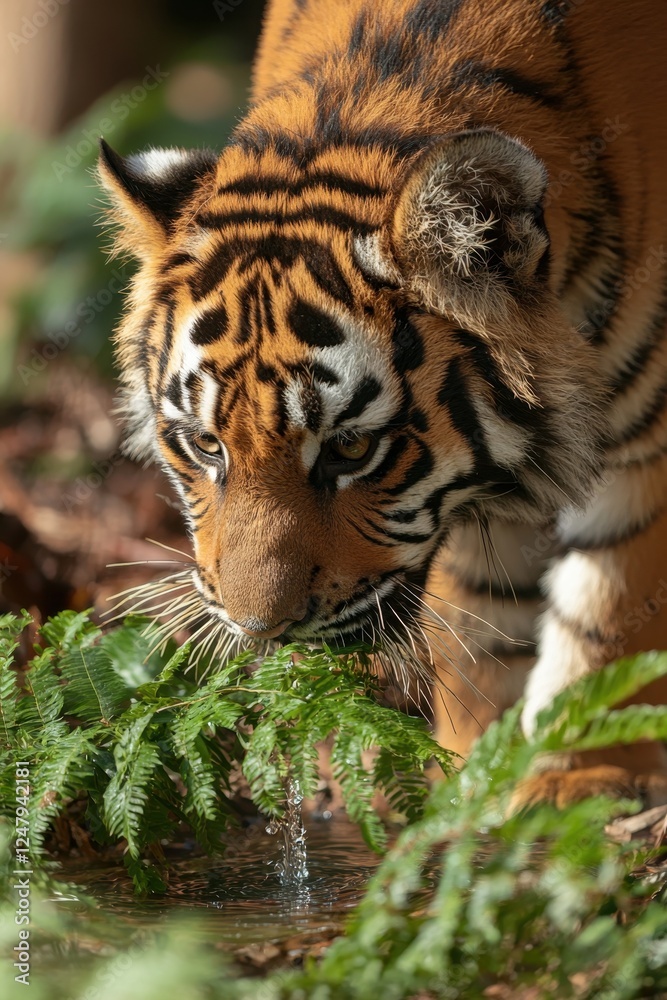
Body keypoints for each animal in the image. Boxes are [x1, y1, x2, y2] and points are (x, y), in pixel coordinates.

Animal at [98, 0, 667, 806]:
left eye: (350, 448)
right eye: (206, 445)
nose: (260, 628)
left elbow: (609, 615)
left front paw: (576, 775)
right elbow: (482, 626)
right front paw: (470, 771)